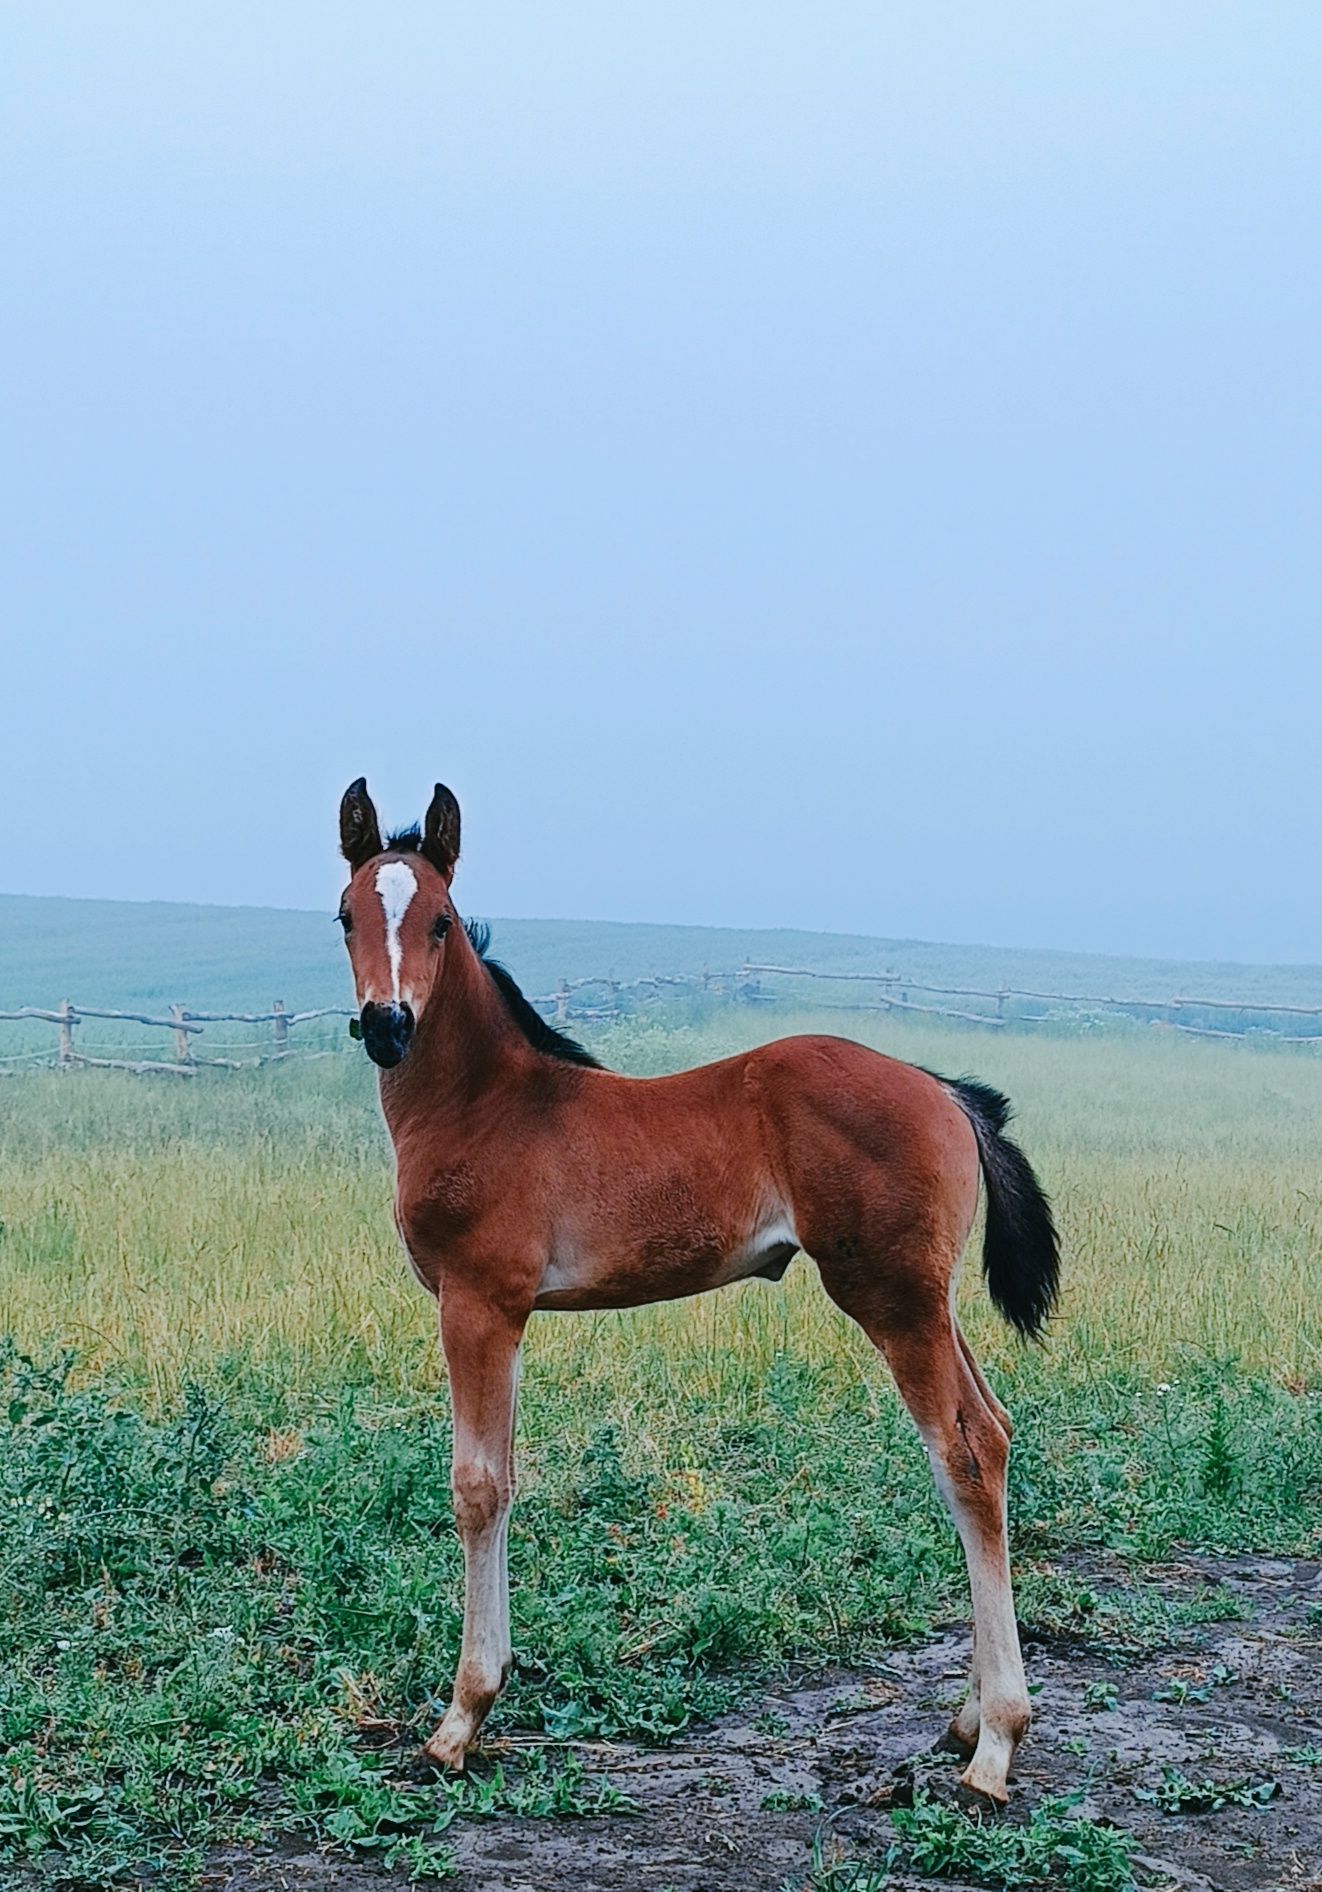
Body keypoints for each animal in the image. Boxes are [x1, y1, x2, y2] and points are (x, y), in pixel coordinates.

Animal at [336, 775, 1059, 1793]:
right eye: (345, 915)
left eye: (438, 920)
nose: (385, 1027)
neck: (488, 1106)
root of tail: (945, 1091)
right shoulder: (505, 1316)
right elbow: (507, 1477)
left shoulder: (480, 1303)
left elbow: (477, 1487)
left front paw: (460, 1721)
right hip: (930, 1299)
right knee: (993, 1426)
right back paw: (963, 1722)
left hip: (893, 1300)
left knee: (966, 1452)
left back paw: (995, 1744)